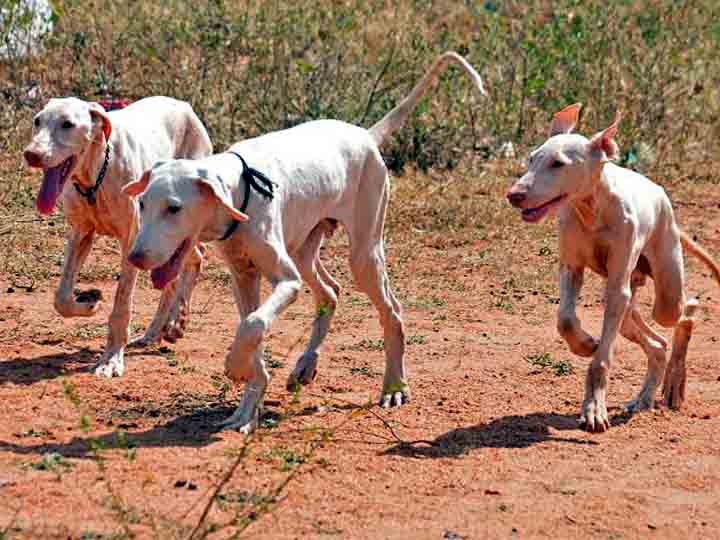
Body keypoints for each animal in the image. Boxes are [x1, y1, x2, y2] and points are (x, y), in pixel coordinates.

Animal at [23, 96, 214, 376]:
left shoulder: (131, 242)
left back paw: (176, 321)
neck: (95, 179)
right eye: (37, 121)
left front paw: (111, 359)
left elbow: (121, 308)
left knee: (197, 257)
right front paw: (89, 303)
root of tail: (183, 104)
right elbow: (61, 299)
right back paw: (155, 332)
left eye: (67, 124)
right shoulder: (81, 234)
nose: (31, 154)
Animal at [124, 50, 486, 430]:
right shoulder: (244, 278)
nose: (135, 257)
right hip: (304, 249)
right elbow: (251, 330)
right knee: (331, 293)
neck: (241, 191)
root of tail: (365, 135)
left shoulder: (287, 281)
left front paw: (234, 369)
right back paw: (306, 365)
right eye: (143, 204)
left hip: (363, 254)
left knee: (393, 313)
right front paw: (246, 409)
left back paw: (394, 386)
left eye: (174, 208)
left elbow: (253, 325)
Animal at [506, 105, 720, 432]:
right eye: (532, 158)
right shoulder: (571, 268)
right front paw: (585, 344)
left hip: (662, 294)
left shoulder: (618, 284)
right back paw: (646, 398)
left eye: (558, 164)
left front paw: (594, 410)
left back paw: (675, 385)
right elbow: (565, 320)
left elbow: (601, 361)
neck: (591, 209)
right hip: (630, 307)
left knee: (685, 312)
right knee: (658, 344)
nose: (514, 195)